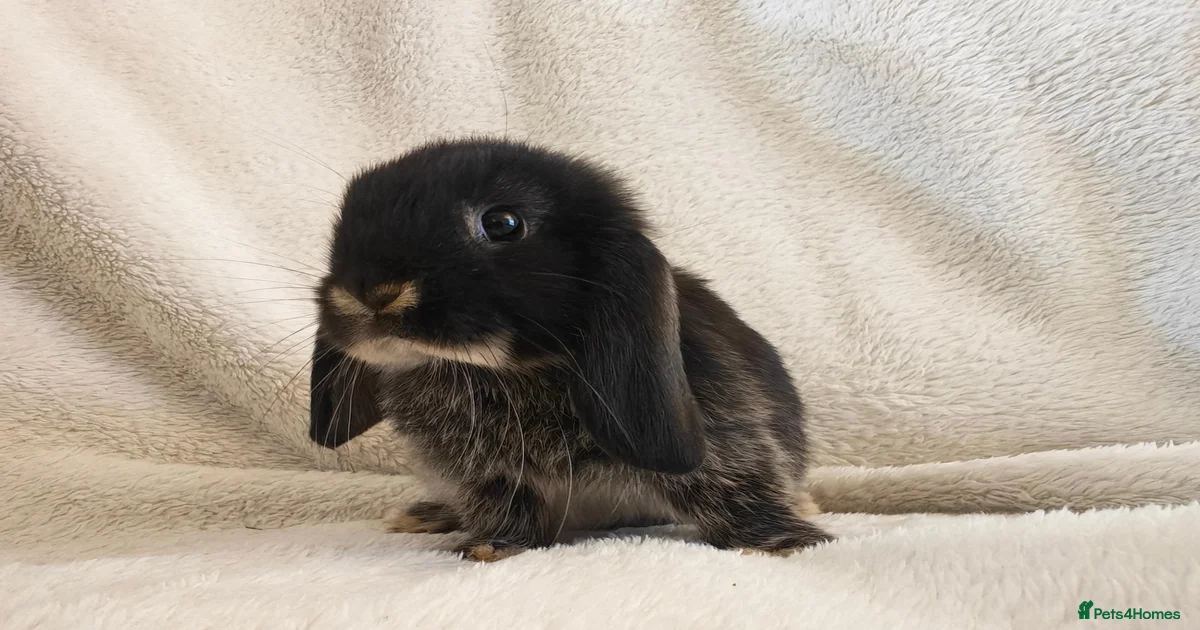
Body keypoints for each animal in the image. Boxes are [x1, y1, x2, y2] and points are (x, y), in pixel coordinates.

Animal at [308, 138, 833, 562]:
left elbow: (730, 485)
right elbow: (504, 505)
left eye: (503, 223)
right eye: (343, 227)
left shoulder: (725, 437)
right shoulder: (488, 474)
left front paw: (783, 542)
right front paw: (490, 547)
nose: (372, 293)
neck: (513, 370)